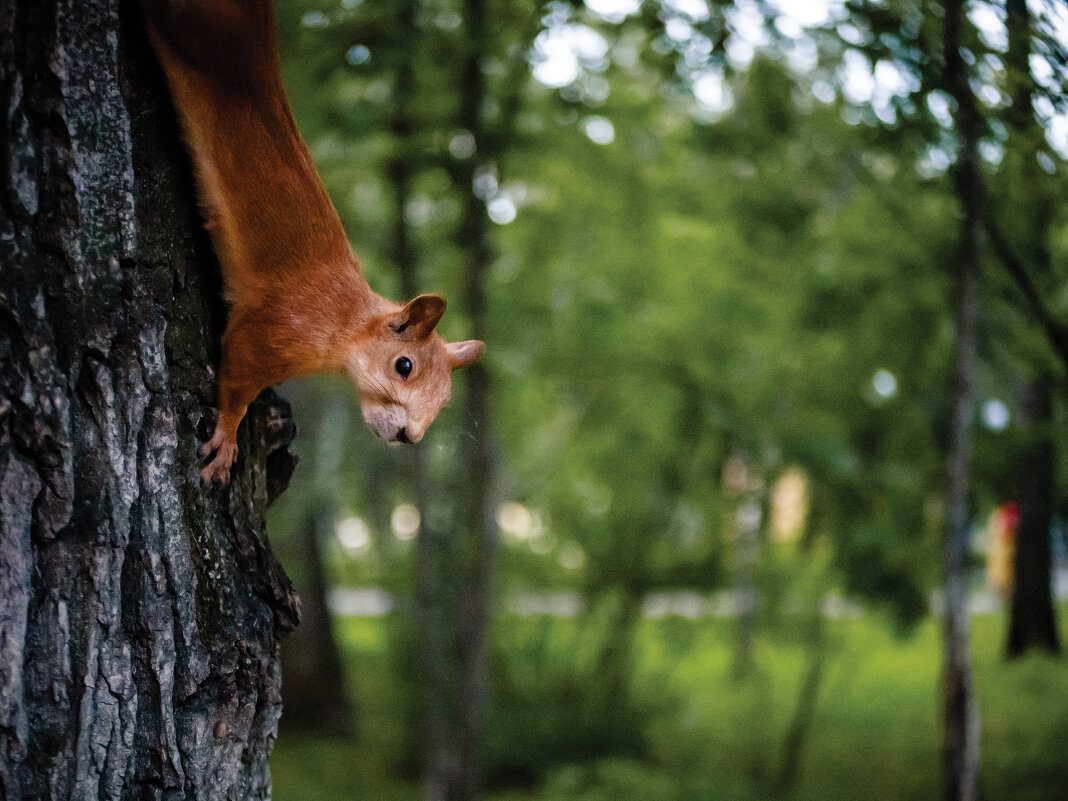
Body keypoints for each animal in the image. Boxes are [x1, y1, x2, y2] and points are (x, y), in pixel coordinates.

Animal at [139, 0, 482, 482]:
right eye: (404, 366)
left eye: (445, 399)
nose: (409, 436)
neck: (345, 321)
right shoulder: (272, 328)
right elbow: (237, 376)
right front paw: (226, 439)